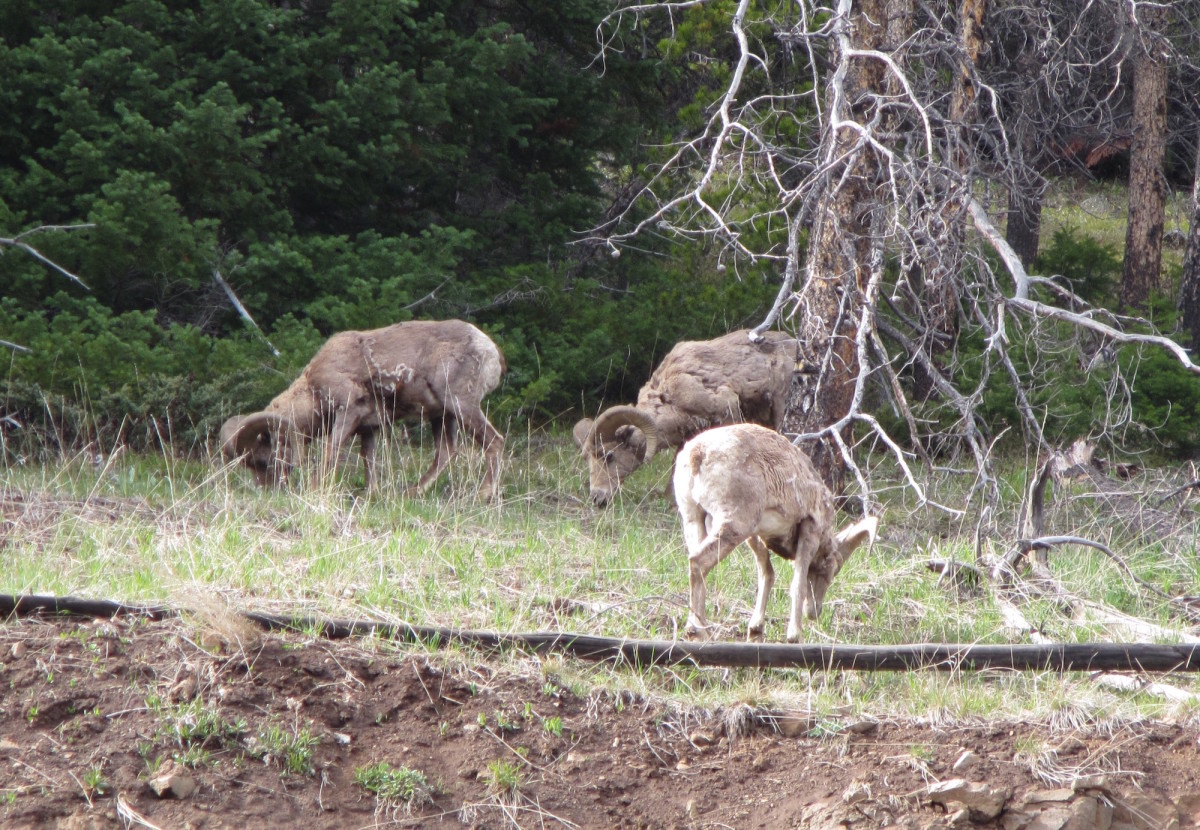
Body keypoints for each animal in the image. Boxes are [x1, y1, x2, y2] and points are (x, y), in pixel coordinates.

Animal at [220, 316, 506, 498]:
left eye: (262, 461)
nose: (268, 491)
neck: (313, 390)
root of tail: (490, 349)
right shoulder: (369, 428)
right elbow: (368, 459)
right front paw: (372, 493)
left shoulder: (348, 411)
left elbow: (332, 450)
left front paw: (316, 488)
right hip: (442, 416)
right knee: (446, 451)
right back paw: (410, 493)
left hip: (461, 405)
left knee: (494, 441)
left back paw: (484, 495)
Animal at [676, 422, 883, 642]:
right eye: (833, 570)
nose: (814, 612)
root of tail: (697, 454)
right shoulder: (809, 531)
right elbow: (798, 584)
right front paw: (795, 636)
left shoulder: (756, 534)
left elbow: (766, 573)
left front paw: (756, 629)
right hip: (734, 524)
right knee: (698, 561)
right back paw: (700, 632)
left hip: (694, 518)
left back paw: (693, 630)